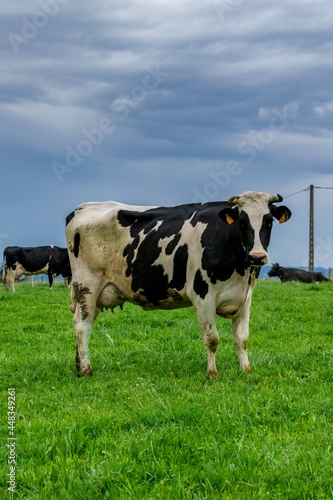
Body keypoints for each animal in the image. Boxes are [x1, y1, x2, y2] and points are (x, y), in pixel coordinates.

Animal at [65, 192, 290, 378]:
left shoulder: (245, 298)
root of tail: (83, 207)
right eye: (241, 222)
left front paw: (246, 370)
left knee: (87, 323)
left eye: (268, 221)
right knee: (82, 325)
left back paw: (78, 365)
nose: (257, 256)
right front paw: (212, 374)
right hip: (86, 285)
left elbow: (242, 338)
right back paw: (86, 370)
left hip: (97, 293)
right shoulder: (203, 296)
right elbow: (212, 338)